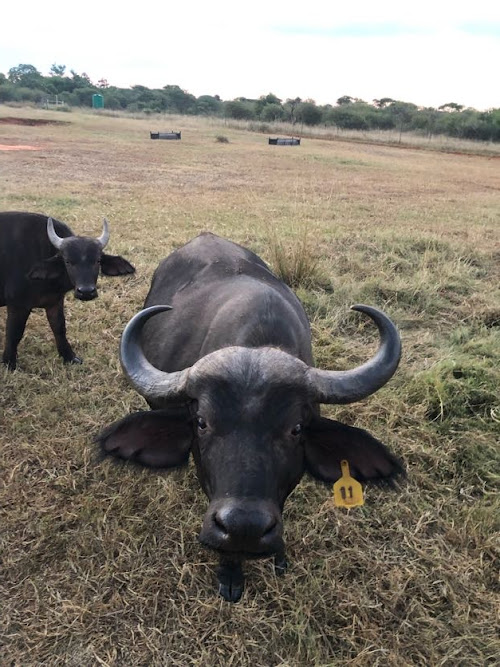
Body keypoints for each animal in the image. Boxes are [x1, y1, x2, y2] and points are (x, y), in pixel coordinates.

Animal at [0, 211, 135, 370]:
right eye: (68, 261)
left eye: (97, 261)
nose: (86, 291)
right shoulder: (17, 304)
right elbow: (14, 333)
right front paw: (9, 363)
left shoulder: (55, 301)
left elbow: (59, 327)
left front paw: (69, 357)